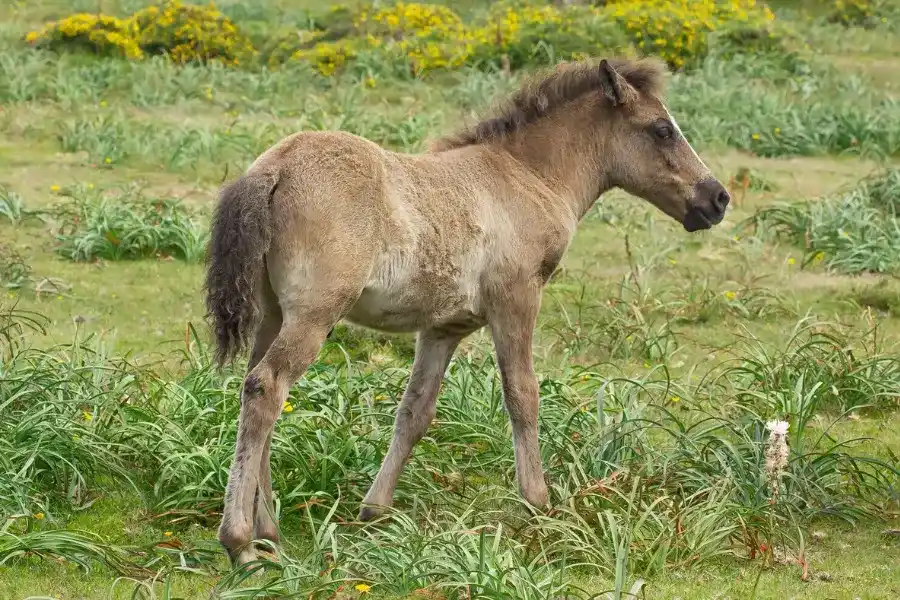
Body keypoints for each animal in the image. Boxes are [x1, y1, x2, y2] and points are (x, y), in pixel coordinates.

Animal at [204, 56, 732, 568]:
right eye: (661, 129)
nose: (718, 198)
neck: (527, 176)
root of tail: (273, 168)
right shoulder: (516, 299)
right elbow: (523, 395)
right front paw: (538, 502)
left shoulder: (443, 328)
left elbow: (415, 411)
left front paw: (375, 510)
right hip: (315, 314)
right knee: (268, 387)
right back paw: (241, 544)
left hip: (274, 314)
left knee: (256, 388)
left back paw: (270, 534)